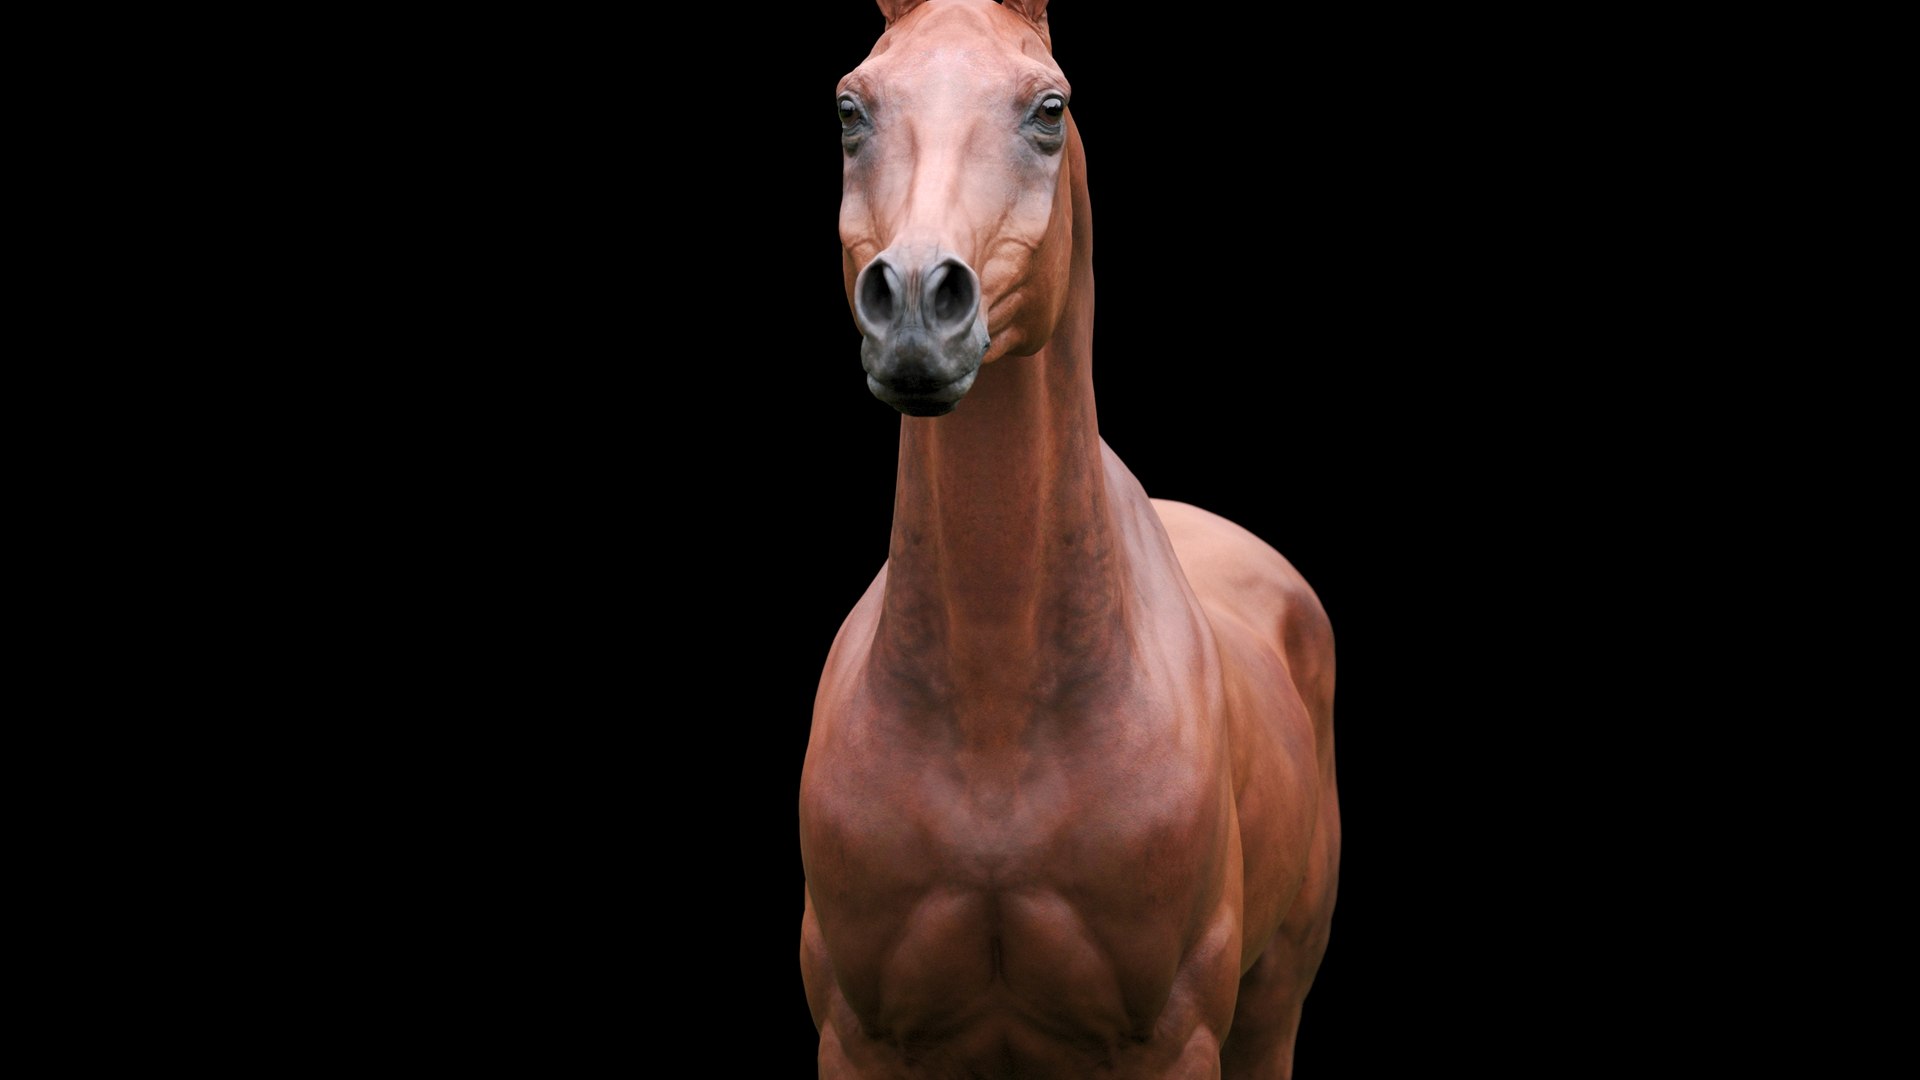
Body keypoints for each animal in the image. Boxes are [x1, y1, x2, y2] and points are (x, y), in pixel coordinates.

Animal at [798, 2, 1339, 1075]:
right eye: (849, 109)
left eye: (1048, 109)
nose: (916, 303)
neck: (995, 721)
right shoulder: (853, 1039)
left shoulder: (1175, 1042)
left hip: (1272, 1008)